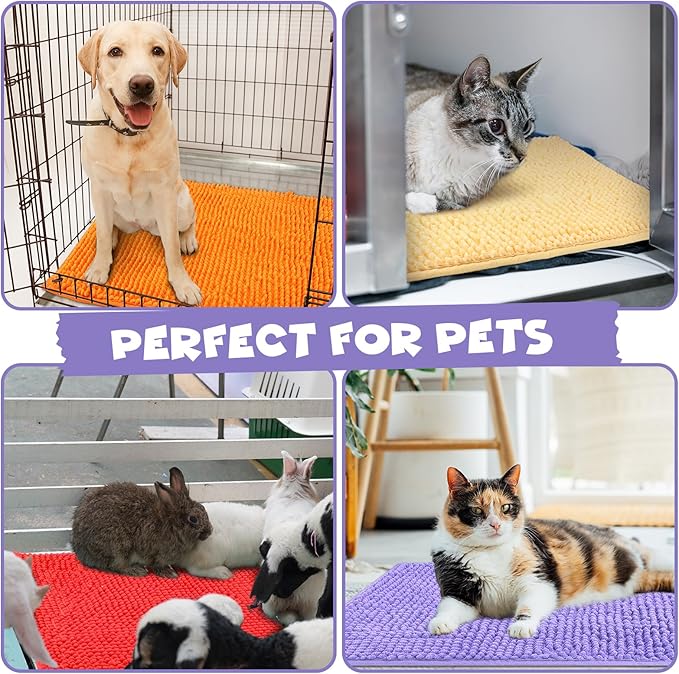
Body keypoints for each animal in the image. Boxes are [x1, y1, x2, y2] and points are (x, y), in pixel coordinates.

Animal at [71, 467, 212, 578]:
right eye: (193, 519)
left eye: (203, 508)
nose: (209, 531)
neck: (171, 523)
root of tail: (80, 549)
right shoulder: (157, 554)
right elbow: (157, 565)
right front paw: (169, 573)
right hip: (118, 546)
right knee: (117, 565)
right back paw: (137, 571)